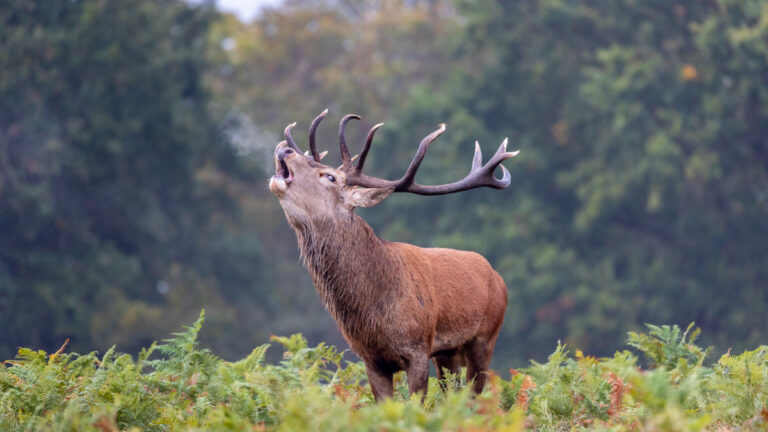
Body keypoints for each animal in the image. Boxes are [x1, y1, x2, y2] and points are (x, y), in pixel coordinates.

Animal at [268, 110, 518, 401]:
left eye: (329, 177)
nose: (285, 150)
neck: (375, 314)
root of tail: (497, 277)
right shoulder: (371, 359)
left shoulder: (418, 349)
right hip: (447, 353)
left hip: (485, 336)